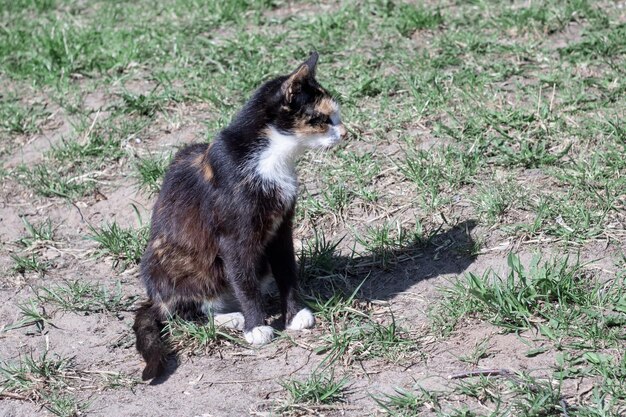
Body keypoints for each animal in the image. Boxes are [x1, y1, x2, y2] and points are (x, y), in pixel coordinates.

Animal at [133, 52, 346, 380]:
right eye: (323, 119)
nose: (346, 133)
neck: (272, 158)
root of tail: (153, 298)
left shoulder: (281, 228)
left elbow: (287, 269)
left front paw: (294, 314)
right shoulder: (234, 237)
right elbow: (243, 280)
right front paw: (256, 326)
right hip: (170, 261)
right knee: (182, 314)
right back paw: (231, 318)